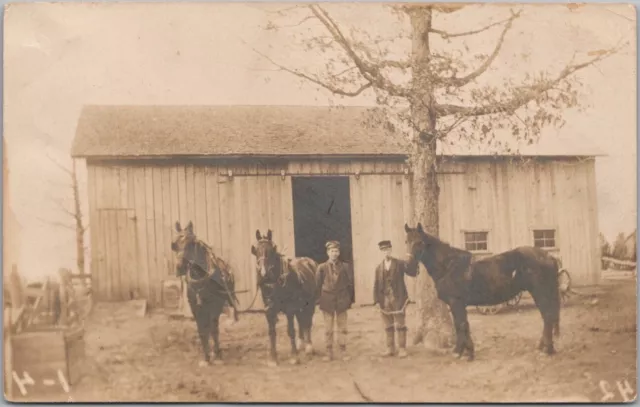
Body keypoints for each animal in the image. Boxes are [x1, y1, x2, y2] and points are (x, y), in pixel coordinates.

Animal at [170, 222, 240, 368]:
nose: (179, 268)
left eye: (191, 243)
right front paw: (206, 357)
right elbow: (202, 330)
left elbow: (213, 328)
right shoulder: (195, 307)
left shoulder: (215, 304)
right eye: (174, 245)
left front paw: (217, 355)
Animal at [251, 230, 318, 366]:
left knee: (308, 322)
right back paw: (301, 344)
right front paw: (273, 358)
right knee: (301, 321)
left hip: (310, 303)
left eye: (271, 250)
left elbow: (291, 330)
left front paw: (294, 357)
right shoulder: (269, 310)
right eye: (256, 251)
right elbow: (272, 332)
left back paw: (309, 346)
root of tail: (308, 261)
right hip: (300, 305)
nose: (264, 274)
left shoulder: (290, 308)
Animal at [404, 225, 560, 362]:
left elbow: (460, 325)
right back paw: (543, 347)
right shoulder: (459, 305)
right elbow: (463, 325)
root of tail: (548, 256)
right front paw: (468, 352)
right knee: (548, 318)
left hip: (540, 293)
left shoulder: (456, 302)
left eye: (419, 242)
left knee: (547, 317)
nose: (409, 267)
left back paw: (546, 350)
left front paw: (460, 353)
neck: (449, 266)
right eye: (406, 241)